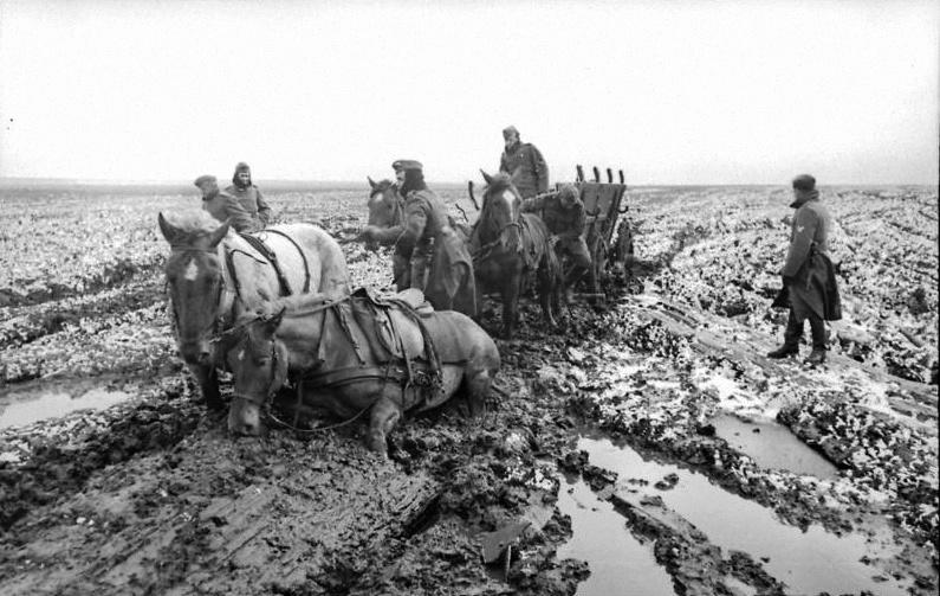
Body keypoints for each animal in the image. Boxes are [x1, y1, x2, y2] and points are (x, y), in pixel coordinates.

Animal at [221, 288, 504, 452]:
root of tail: (477, 326)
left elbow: (376, 436)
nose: (238, 426)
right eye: (231, 363)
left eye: (261, 360)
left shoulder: (392, 402)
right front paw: (315, 418)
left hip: (478, 375)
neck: (334, 349)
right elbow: (289, 401)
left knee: (478, 408)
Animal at [468, 170, 560, 338]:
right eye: (496, 203)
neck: (494, 251)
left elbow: (509, 311)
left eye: (518, 201)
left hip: (546, 270)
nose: (513, 242)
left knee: (545, 296)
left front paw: (508, 335)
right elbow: (477, 313)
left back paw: (551, 321)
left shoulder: (512, 279)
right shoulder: (478, 279)